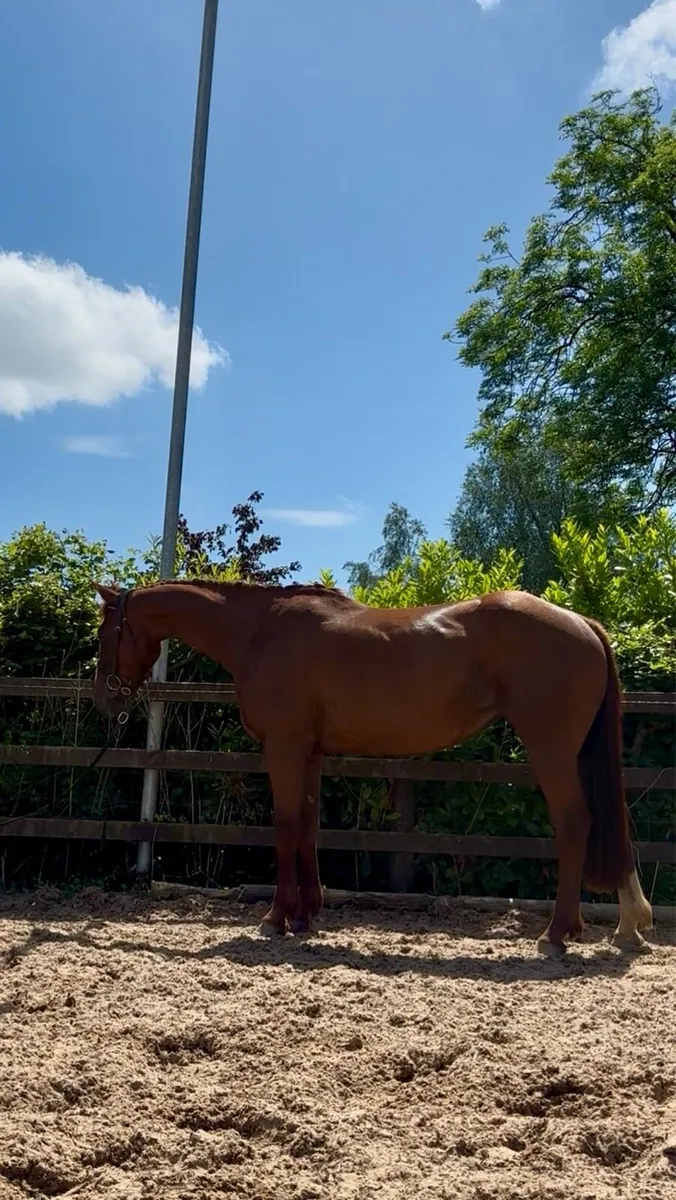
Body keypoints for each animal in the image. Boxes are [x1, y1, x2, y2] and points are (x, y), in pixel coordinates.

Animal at [91, 578, 654, 955]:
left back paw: (557, 934)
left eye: (104, 634)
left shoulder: (284, 747)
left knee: (576, 823)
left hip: (551, 748)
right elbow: (308, 827)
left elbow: (285, 825)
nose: (105, 700)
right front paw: (306, 917)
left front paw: (275, 918)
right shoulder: (310, 751)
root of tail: (582, 623)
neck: (259, 631)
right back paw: (629, 924)